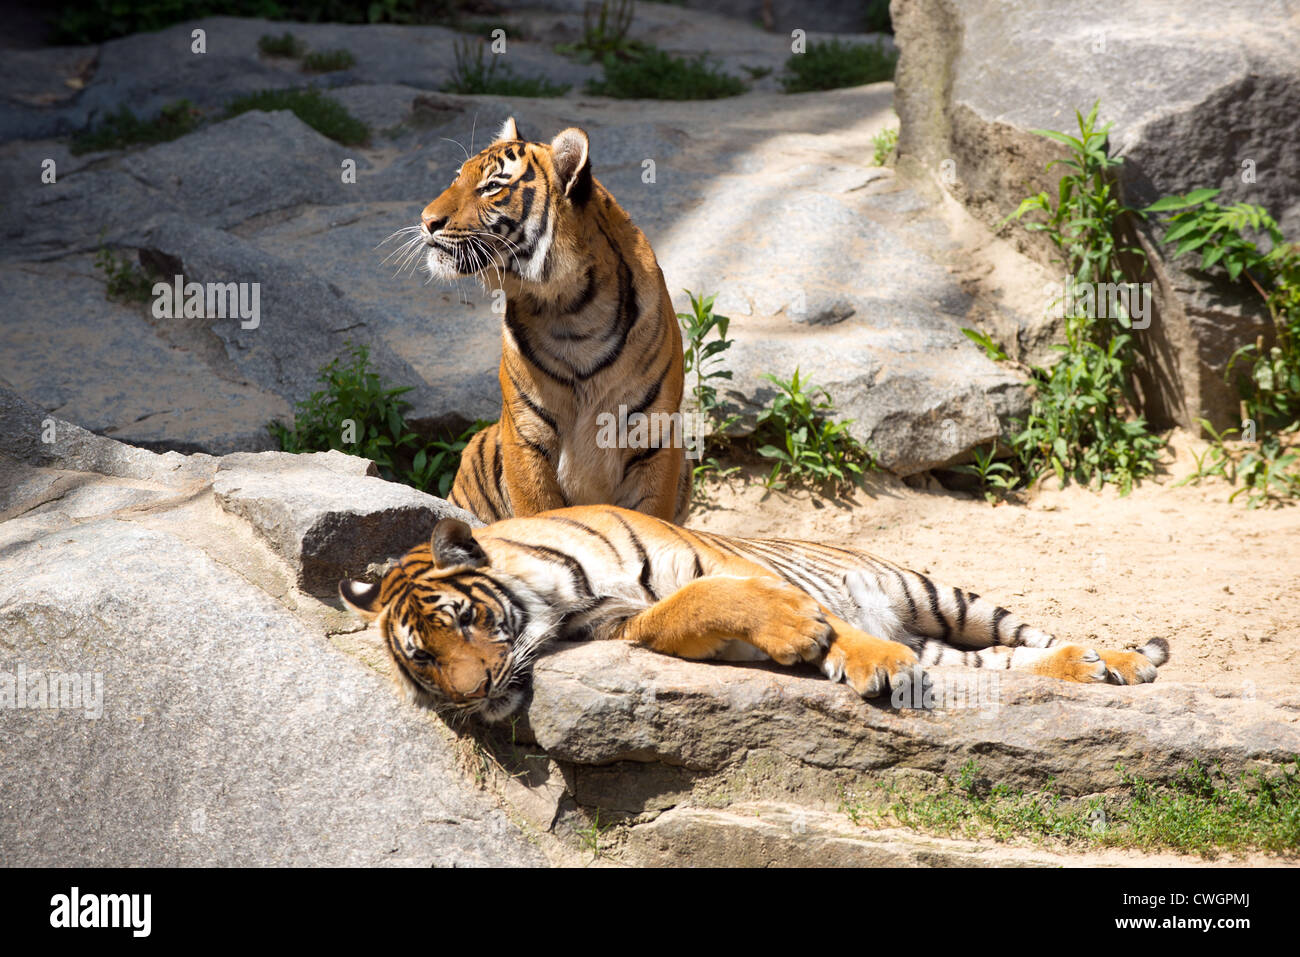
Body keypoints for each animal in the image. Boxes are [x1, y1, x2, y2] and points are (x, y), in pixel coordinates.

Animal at [340, 504, 1175, 722]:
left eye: (466, 621)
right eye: (422, 657)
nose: (474, 695)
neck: (557, 600)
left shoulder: (715, 562)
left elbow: (740, 594)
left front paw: (854, 651)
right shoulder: (622, 622)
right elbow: (686, 610)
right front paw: (823, 646)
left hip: (941, 595)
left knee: (1030, 630)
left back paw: (1125, 660)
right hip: (951, 643)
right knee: (1006, 659)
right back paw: (1087, 669)